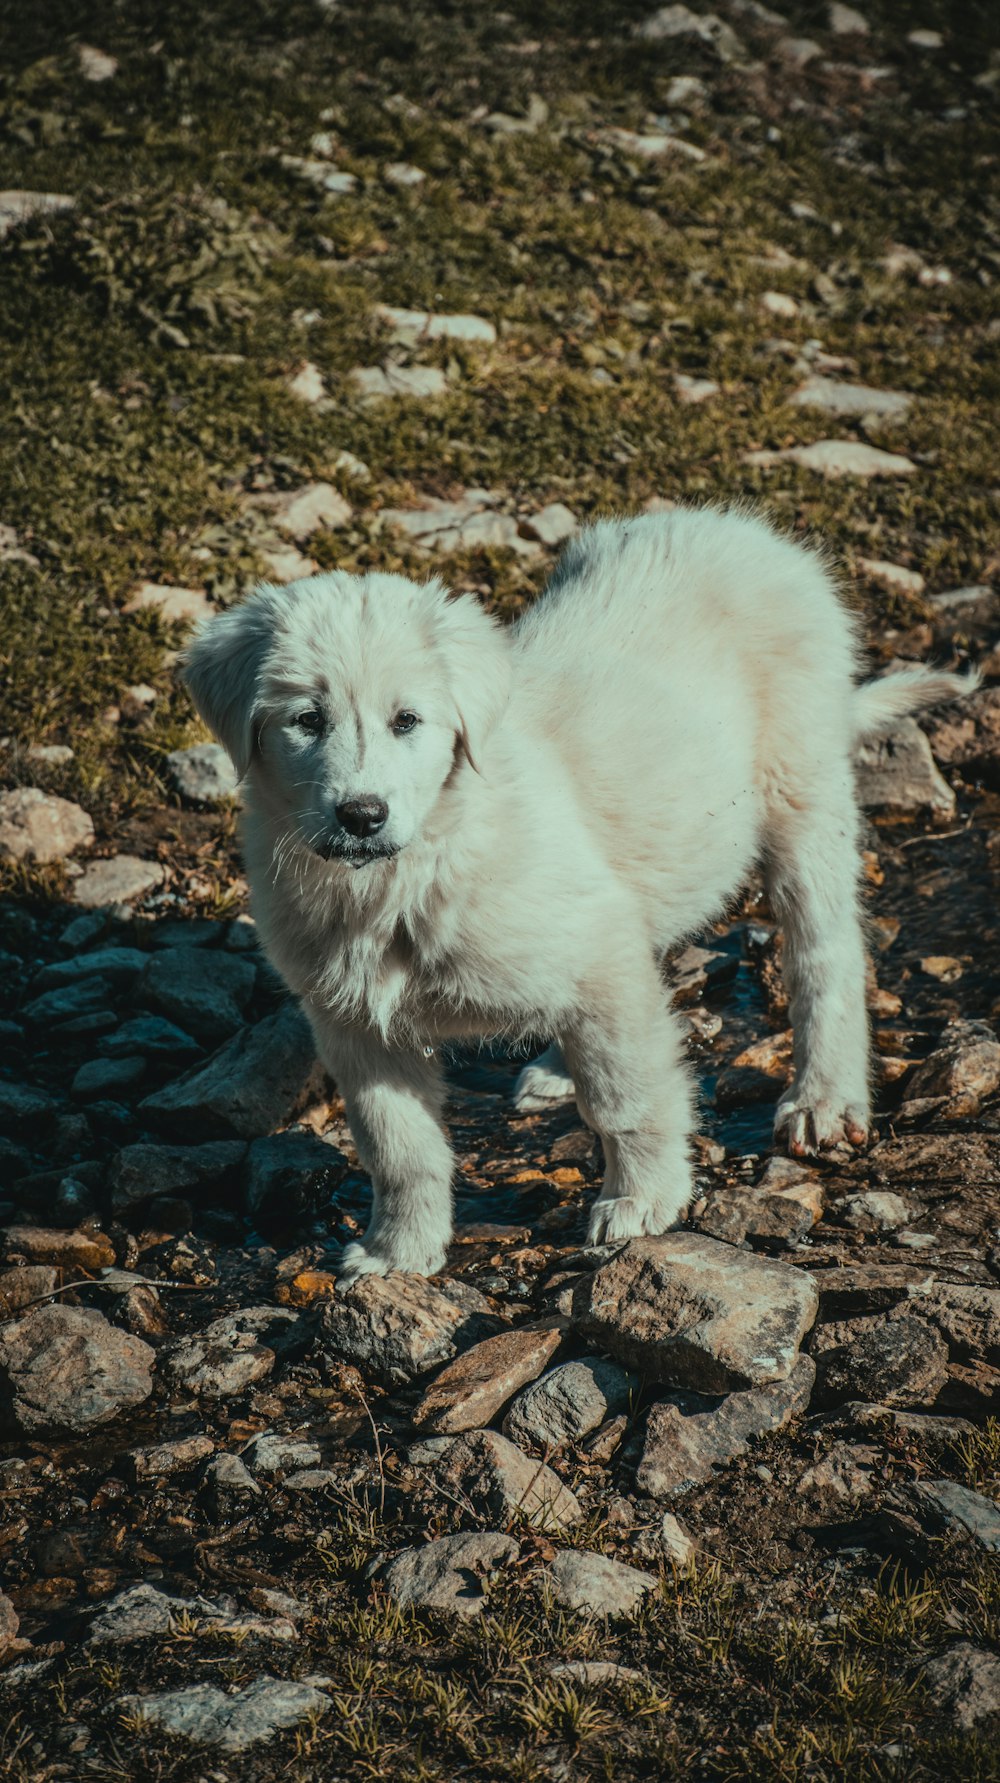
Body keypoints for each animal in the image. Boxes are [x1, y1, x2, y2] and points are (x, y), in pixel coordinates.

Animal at [183, 513, 969, 1283]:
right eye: (306, 720)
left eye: (407, 720)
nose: (361, 816)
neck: (408, 871)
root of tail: (742, 528)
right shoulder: (356, 1023)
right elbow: (398, 1147)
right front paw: (396, 1252)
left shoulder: (595, 950)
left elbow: (625, 1094)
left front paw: (642, 1200)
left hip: (802, 790)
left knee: (822, 953)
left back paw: (824, 1100)